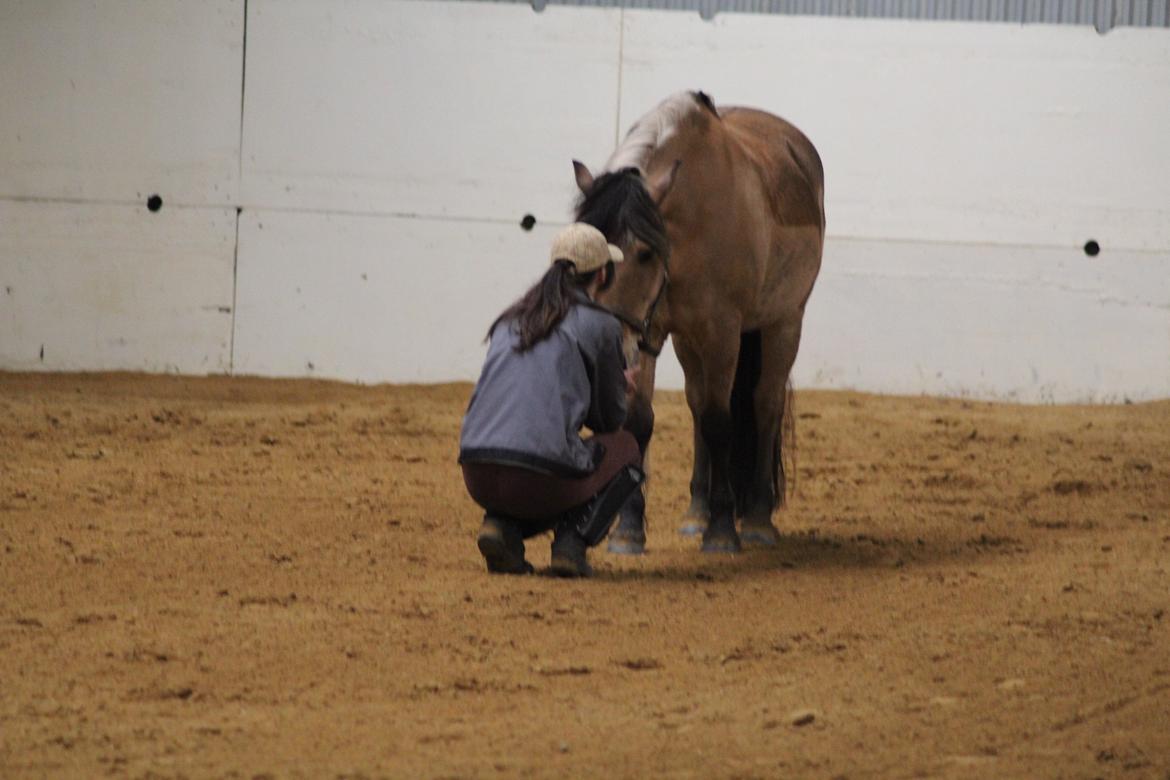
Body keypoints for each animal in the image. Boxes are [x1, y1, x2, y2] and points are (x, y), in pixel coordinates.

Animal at [573, 90, 828, 554]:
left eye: (644, 253)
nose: (609, 335)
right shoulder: (650, 330)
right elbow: (642, 419)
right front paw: (629, 529)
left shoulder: (721, 333)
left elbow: (719, 420)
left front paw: (724, 529)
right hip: (686, 342)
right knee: (695, 401)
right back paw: (696, 513)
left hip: (784, 322)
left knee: (764, 404)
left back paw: (758, 518)